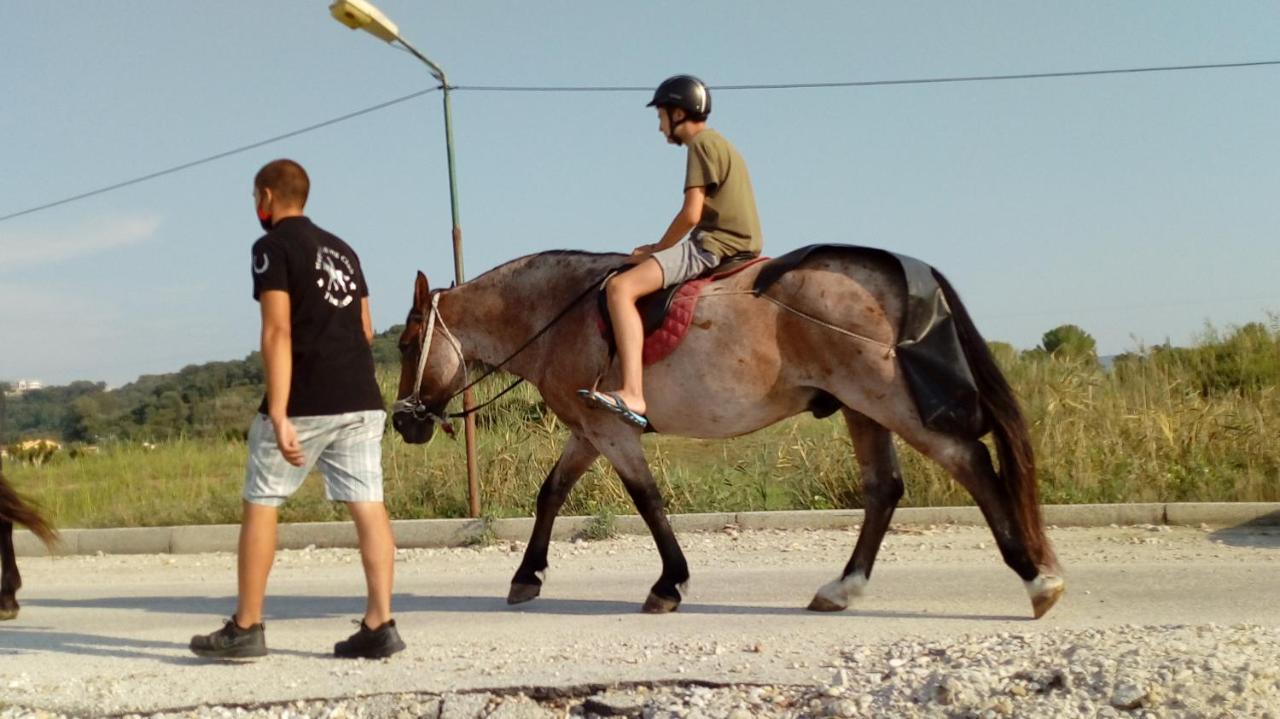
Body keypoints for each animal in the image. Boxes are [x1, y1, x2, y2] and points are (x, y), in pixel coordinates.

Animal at [391, 245, 1070, 616]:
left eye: (403, 343)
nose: (401, 420)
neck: (558, 314)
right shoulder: (587, 430)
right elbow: (551, 493)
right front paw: (527, 576)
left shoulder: (611, 429)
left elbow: (647, 500)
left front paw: (669, 583)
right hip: (863, 406)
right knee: (884, 489)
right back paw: (843, 588)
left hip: (886, 397)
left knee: (969, 461)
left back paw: (1037, 578)